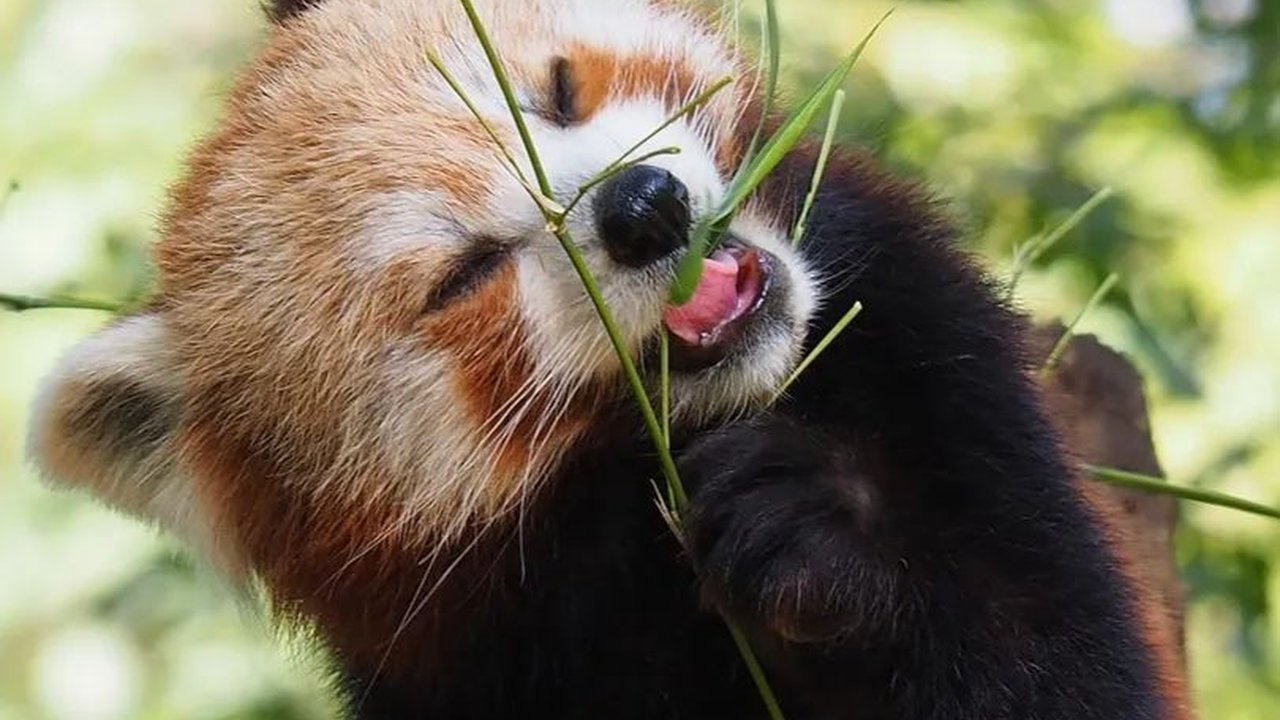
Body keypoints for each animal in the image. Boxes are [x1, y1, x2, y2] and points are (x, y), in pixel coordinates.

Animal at [27, 0, 1193, 718]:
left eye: (558, 88)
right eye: (463, 275)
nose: (642, 208)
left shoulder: (949, 396)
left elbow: (1054, 670)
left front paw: (815, 530)